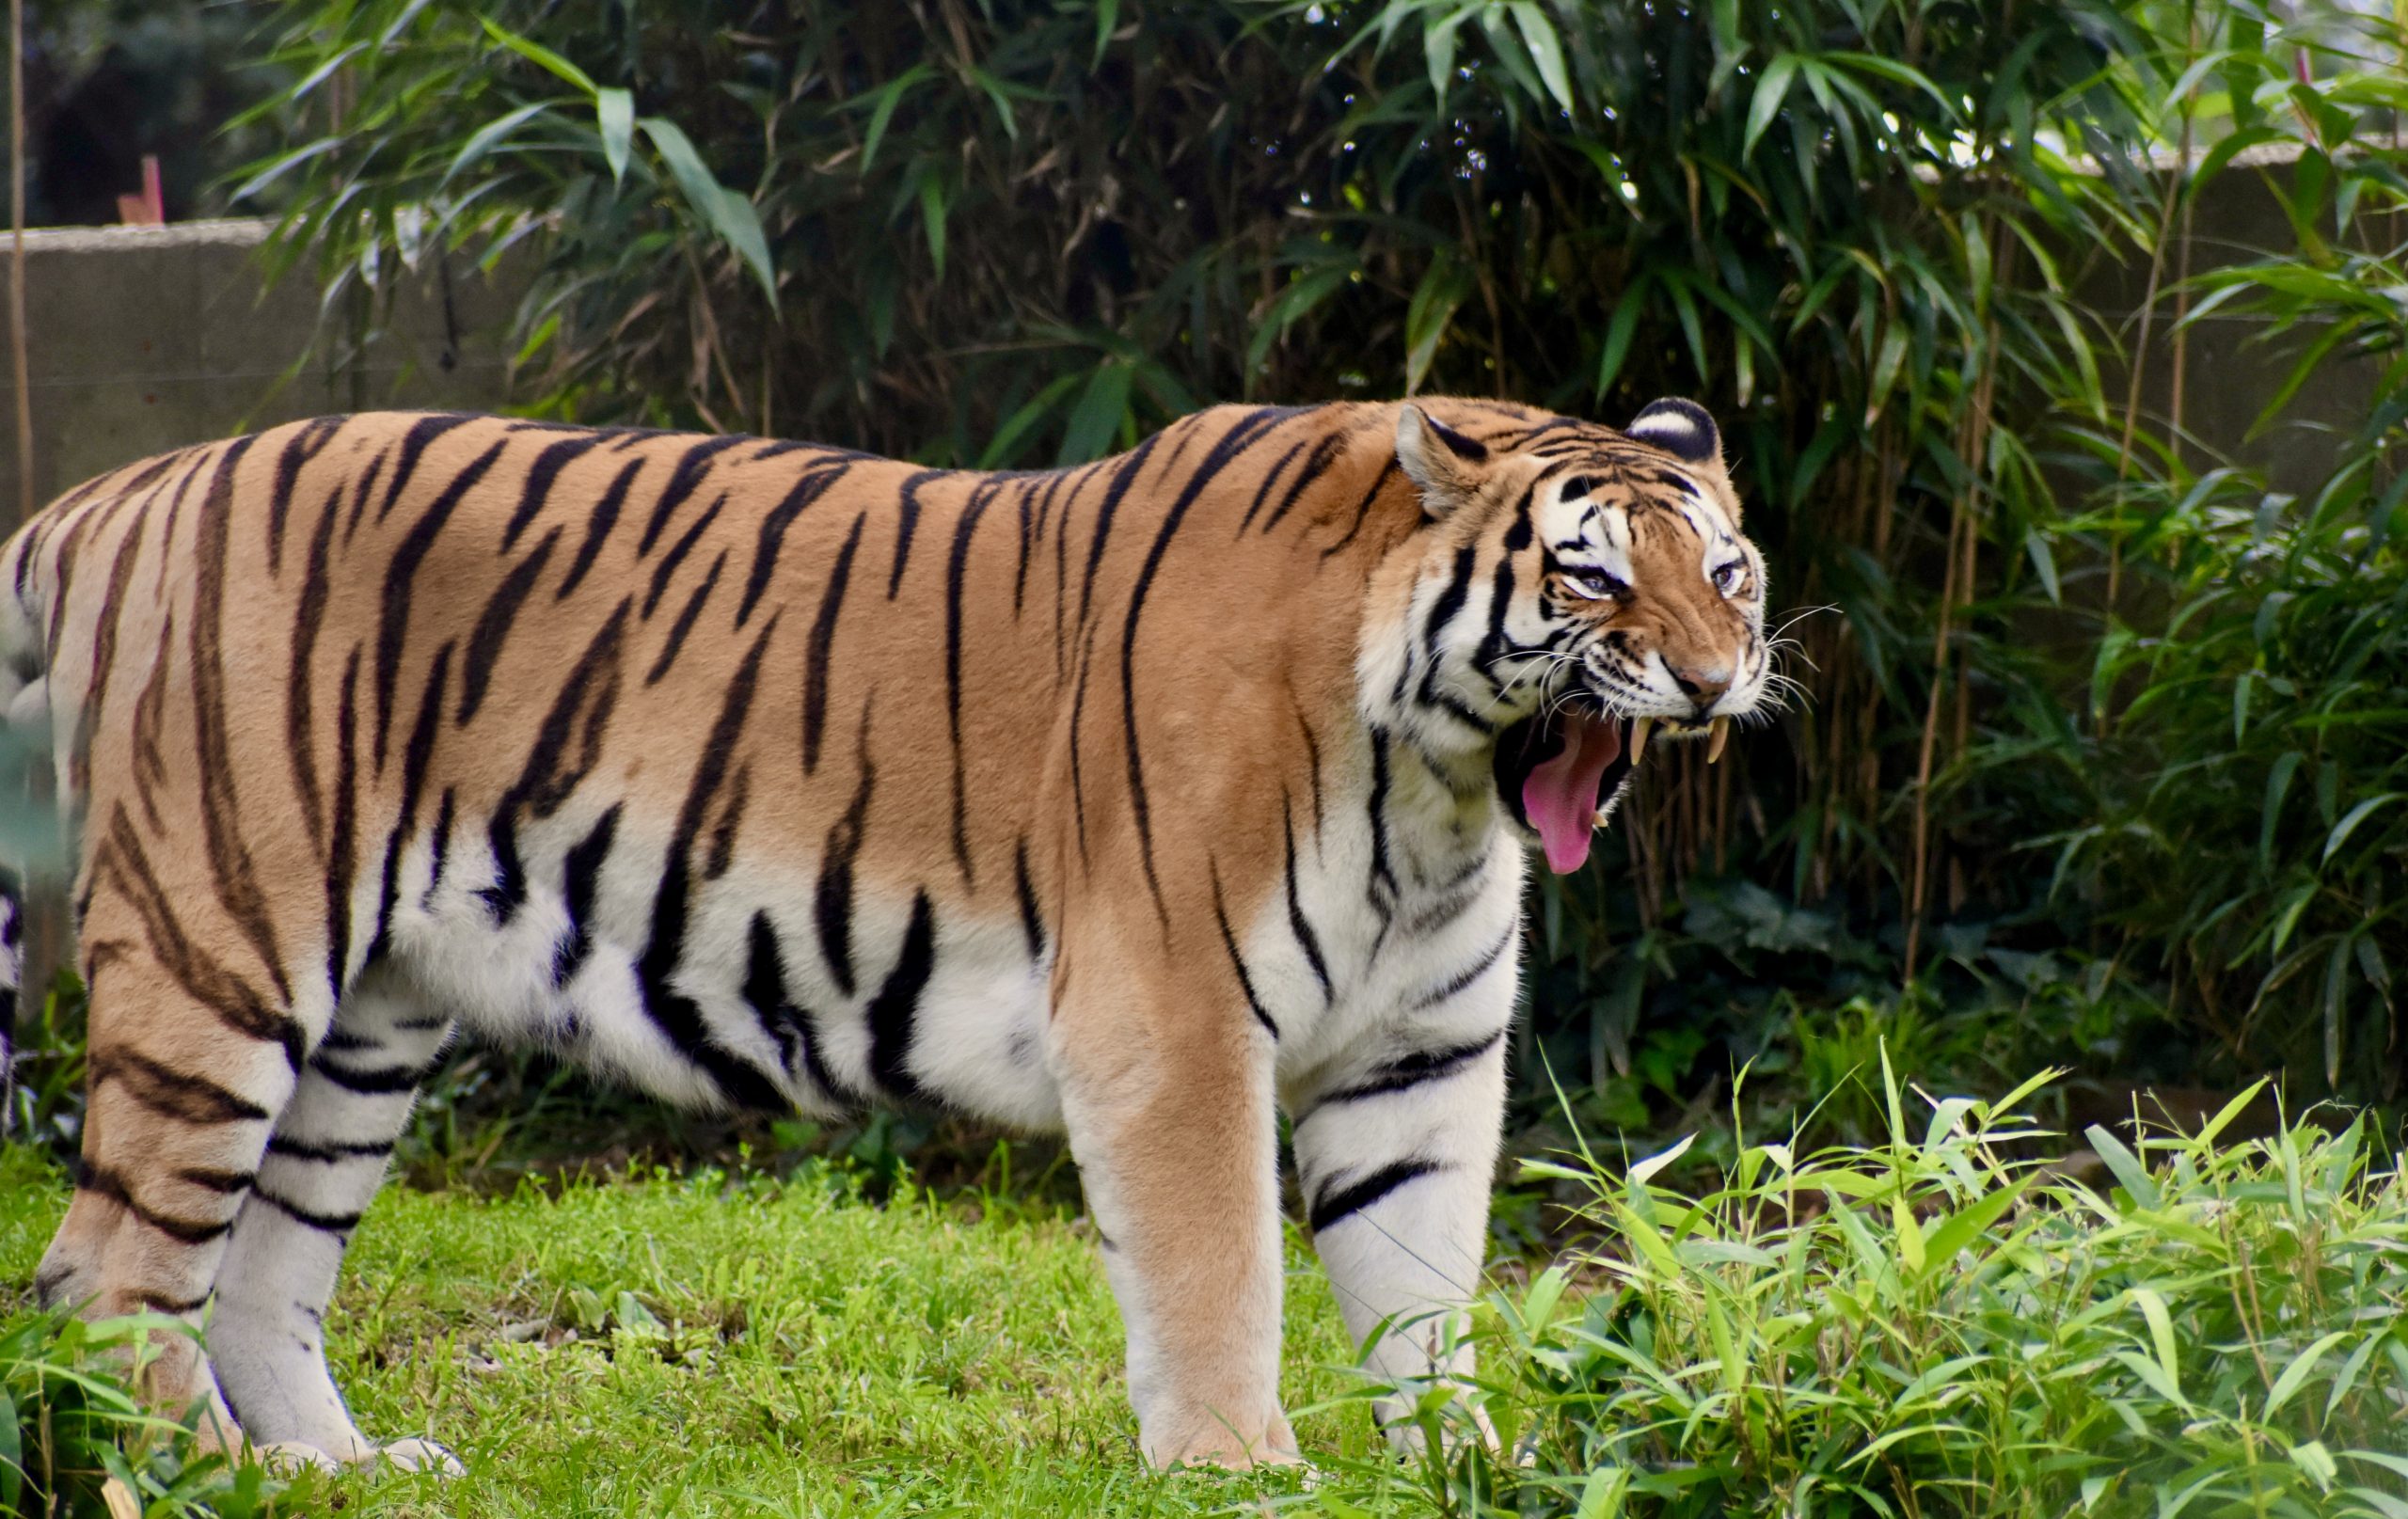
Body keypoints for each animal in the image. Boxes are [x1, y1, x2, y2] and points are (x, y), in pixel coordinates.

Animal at [0, 392, 1772, 1473]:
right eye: (1593, 580)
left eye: (1728, 571)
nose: (1713, 678)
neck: (1437, 784)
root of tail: (110, 494)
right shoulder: (1174, 1018)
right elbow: (1218, 1268)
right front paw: (1239, 1467)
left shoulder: (1421, 1052)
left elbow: (1424, 1286)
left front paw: (1470, 1463)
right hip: (225, 952)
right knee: (109, 1268)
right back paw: (216, 1473)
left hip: (367, 1021)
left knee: (262, 1264)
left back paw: (338, 1472)